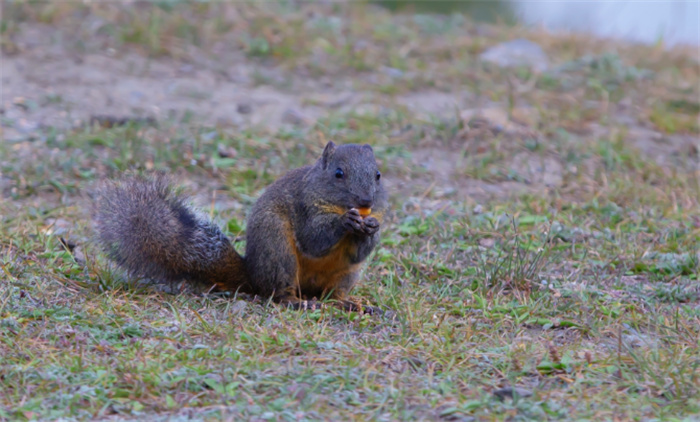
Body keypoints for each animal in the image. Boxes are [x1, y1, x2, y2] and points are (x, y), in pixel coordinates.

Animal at [92, 142, 388, 314]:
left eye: (377, 175)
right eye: (338, 173)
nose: (366, 201)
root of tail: (252, 275)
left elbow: (359, 251)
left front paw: (372, 227)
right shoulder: (304, 205)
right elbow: (314, 239)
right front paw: (345, 221)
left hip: (346, 274)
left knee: (333, 294)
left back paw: (351, 303)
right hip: (277, 251)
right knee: (278, 293)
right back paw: (296, 302)